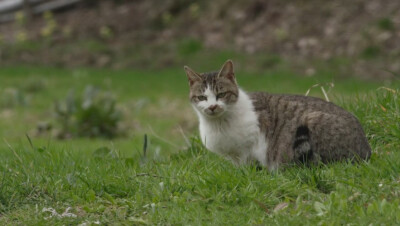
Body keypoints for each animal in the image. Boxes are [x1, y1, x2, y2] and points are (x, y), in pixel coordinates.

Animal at [184, 59, 372, 170]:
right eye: (202, 97)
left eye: (221, 94)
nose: (212, 106)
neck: (219, 124)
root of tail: (366, 152)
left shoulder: (250, 146)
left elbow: (247, 166)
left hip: (313, 121)